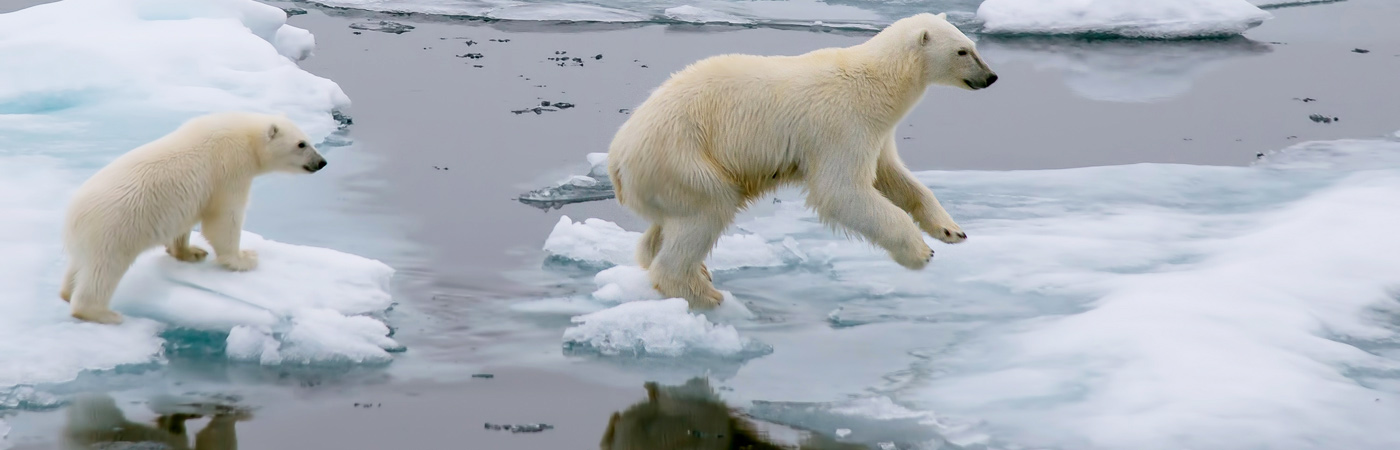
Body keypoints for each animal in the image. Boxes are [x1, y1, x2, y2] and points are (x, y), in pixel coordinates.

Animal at [60, 111, 327, 322]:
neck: (244, 135)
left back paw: (66, 292)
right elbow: (224, 218)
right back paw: (102, 313)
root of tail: (72, 216)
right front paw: (245, 258)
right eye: (301, 144)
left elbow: (185, 224)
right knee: (104, 270)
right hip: (113, 229)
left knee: (78, 266)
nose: (322, 162)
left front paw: (192, 252)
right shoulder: (230, 168)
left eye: (308, 140)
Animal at [604, 14, 996, 308]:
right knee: (709, 209)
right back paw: (705, 294)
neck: (877, 83)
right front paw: (920, 252)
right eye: (963, 50)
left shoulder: (877, 132)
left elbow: (894, 177)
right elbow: (841, 191)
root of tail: (617, 161)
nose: (990, 77)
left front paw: (951, 230)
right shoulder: (841, 124)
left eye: (975, 45)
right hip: (683, 158)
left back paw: (693, 271)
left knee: (666, 225)